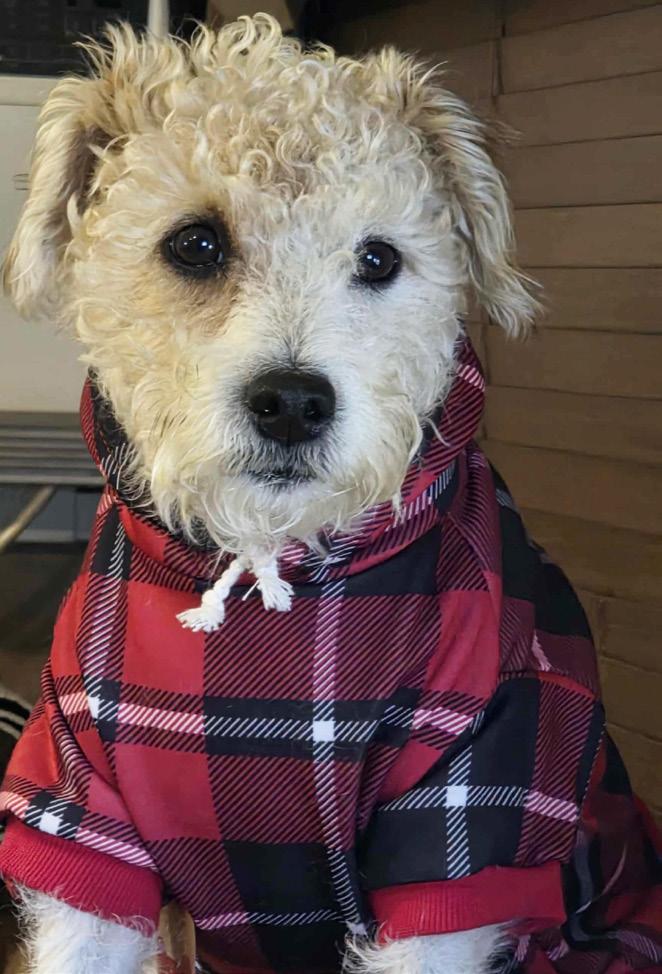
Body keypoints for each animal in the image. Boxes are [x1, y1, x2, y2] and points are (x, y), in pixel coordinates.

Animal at [1, 14, 660, 974]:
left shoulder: (469, 818)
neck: (278, 569)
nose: (293, 403)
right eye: (195, 242)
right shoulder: (81, 815)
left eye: (379, 257)